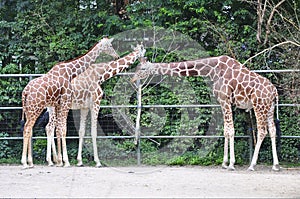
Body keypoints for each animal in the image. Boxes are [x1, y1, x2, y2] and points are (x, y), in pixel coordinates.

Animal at [19, 37, 118, 168]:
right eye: (110, 46)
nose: (116, 56)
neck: (70, 71)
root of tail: (25, 92)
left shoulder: (58, 104)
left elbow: (59, 129)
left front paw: (60, 161)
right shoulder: (66, 102)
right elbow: (63, 129)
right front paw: (65, 161)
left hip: (29, 109)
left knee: (30, 129)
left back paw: (30, 162)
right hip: (35, 108)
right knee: (28, 128)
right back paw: (25, 163)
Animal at [131, 56, 282, 171]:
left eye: (142, 69)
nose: (132, 80)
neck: (212, 69)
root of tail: (274, 91)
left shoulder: (225, 99)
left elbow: (231, 130)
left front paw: (231, 164)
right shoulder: (222, 101)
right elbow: (225, 130)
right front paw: (224, 163)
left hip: (259, 106)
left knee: (262, 131)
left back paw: (252, 165)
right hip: (269, 108)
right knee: (272, 130)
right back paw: (275, 165)